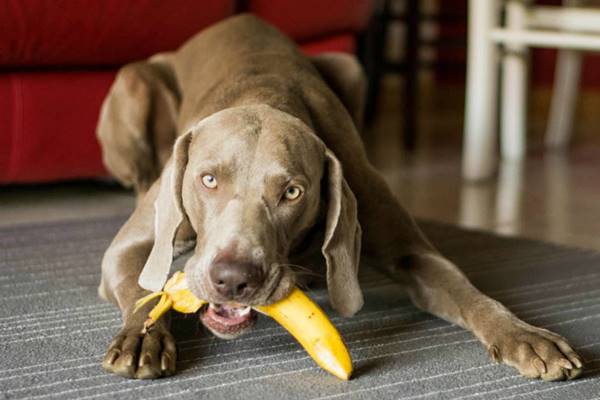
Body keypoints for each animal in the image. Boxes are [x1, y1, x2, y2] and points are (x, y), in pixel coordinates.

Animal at [96, 13, 584, 382]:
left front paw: (524, 335)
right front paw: (142, 337)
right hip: (134, 82)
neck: (264, 95)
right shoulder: (128, 248)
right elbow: (141, 290)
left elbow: (469, 292)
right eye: (208, 180)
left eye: (292, 192)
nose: (233, 280)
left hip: (351, 66)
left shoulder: (406, 244)